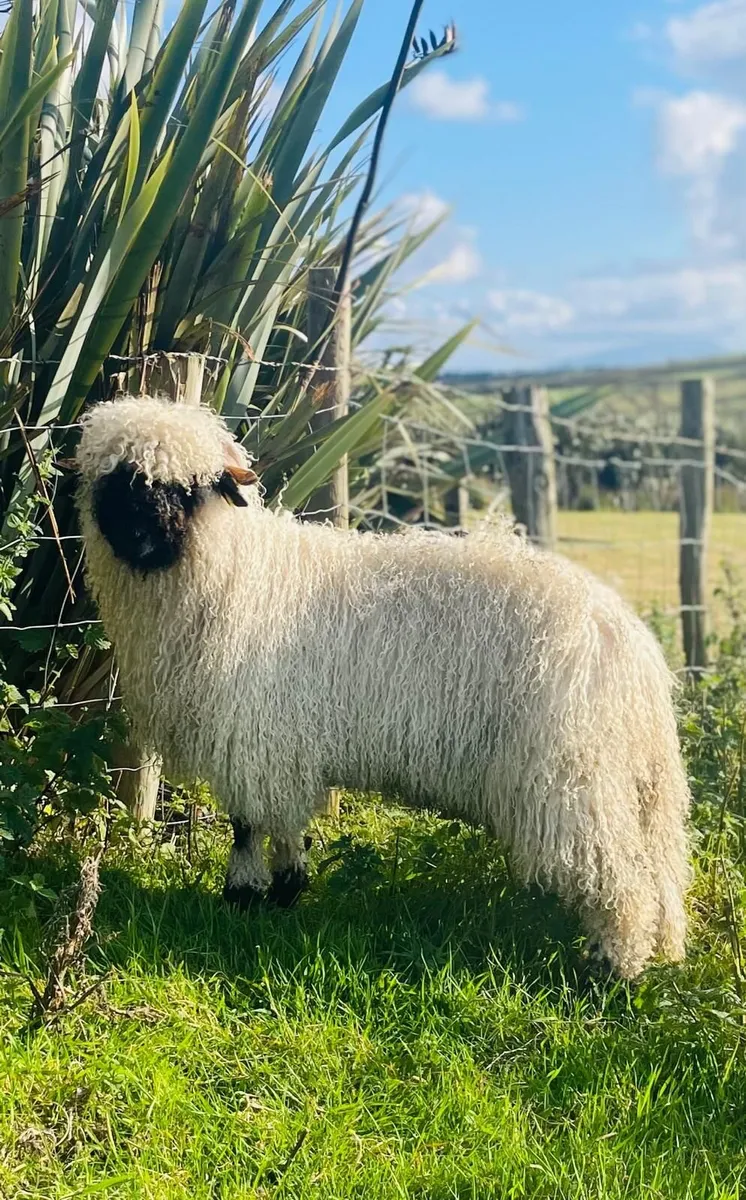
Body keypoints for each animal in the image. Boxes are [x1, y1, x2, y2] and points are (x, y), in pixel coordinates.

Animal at [75, 394, 691, 979]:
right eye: (117, 481)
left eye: (190, 489)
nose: (141, 538)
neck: (235, 573)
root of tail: (630, 644)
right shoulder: (280, 745)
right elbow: (278, 824)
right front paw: (285, 889)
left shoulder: (257, 738)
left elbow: (250, 824)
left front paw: (247, 896)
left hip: (570, 773)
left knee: (617, 873)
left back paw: (612, 966)